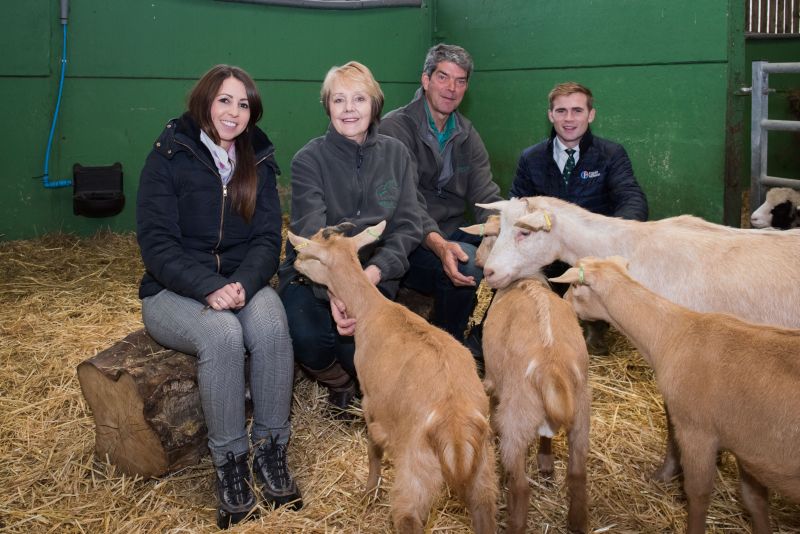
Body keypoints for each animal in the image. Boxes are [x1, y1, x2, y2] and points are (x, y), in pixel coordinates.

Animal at [288, 222, 500, 534]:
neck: (372, 310)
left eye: (310, 252)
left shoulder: (371, 404)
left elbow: (373, 451)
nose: (294, 264)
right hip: (483, 470)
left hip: (416, 471)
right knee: (485, 513)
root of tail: (456, 429)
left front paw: (368, 491)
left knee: (407, 517)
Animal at [552, 258, 800, 532]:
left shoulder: (697, 432)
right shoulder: (747, 446)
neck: (672, 334)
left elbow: (698, 494)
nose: (562, 300)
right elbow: (754, 500)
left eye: (574, 286)